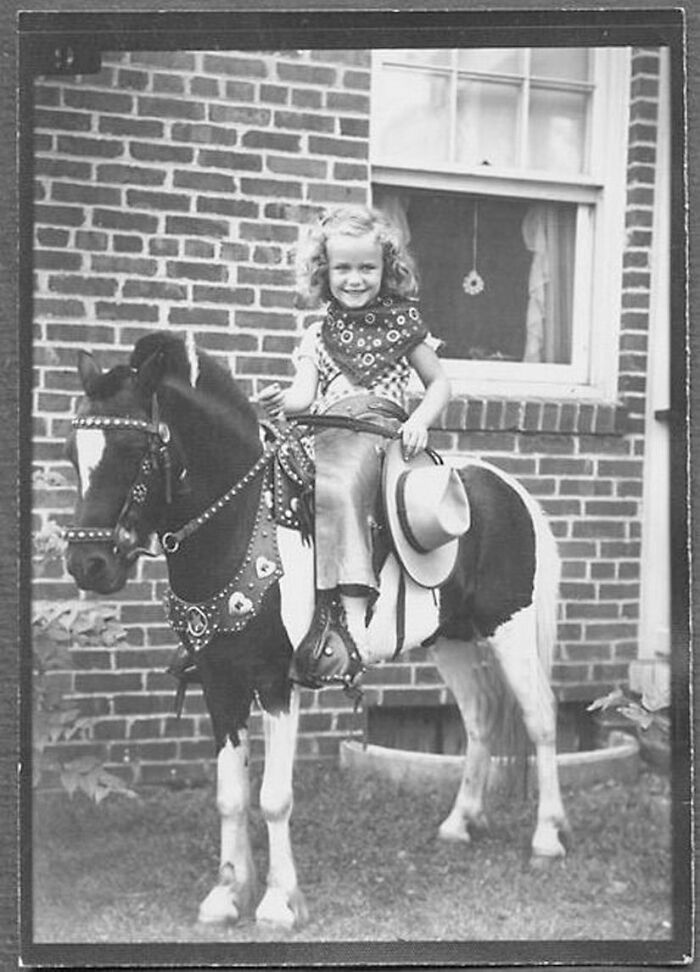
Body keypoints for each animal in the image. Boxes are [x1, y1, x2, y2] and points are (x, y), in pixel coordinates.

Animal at [63, 330, 569, 930]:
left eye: (131, 449)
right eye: (72, 454)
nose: (87, 565)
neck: (240, 527)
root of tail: (511, 488)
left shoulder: (276, 682)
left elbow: (274, 797)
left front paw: (279, 902)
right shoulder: (219, 682)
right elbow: (230, 794)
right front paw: (226, 893)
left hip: (510, 627)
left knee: (541, 718)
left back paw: (547, 838)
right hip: (451, 640)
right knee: (481, 717)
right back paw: (458, 823)